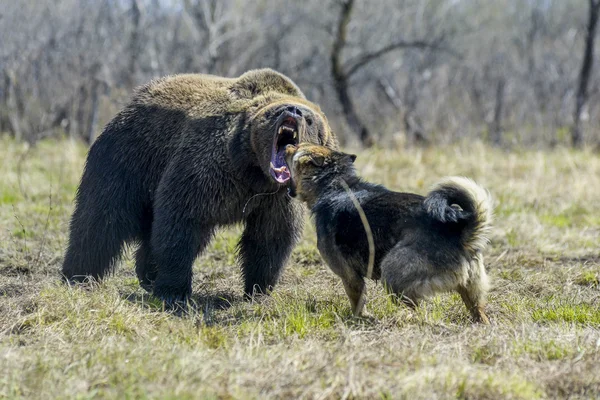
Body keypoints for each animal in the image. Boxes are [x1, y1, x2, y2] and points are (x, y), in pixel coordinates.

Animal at [61, 69, 338, 308]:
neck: (255, 171)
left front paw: (258, 290)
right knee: (101, 219)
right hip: (129, 158)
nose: (294, 110)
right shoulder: (210, 168)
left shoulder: (276, 198)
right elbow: (182, 218)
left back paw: (146, 273)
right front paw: (174, 291)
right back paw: (79, 275)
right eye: (276, 112)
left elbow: (270, 237)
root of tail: (132, 101)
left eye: (310, 119)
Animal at [286, 142, 492, 324]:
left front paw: (359, 319)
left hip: (392, 272)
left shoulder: (350, 276)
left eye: (297, 148)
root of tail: (460, 233)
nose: (287, 144)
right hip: (471, 290)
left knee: (414, 309)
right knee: (479, 313)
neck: (335, 186)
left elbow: (357, 301)